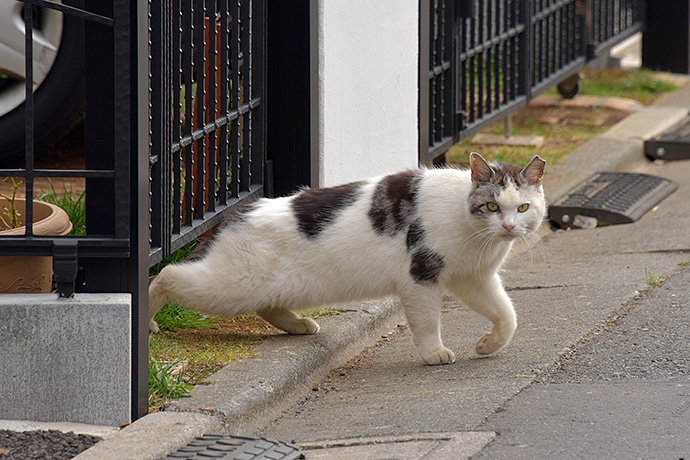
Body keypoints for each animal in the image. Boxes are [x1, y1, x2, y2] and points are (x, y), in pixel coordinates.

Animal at [148, 153, 544, 364]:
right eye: (491, 206)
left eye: (523, 208)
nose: (509, 226)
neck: (474, 233)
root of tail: (233, 215)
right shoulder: (420, 278)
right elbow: (428, 323)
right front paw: (434, 352)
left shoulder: (474, 279)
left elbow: (507, 315)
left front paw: (489, 344)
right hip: (227, 287)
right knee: (166, 274)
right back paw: (149, 321)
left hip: (271, 288)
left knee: (267, 306)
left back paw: (299, 325)